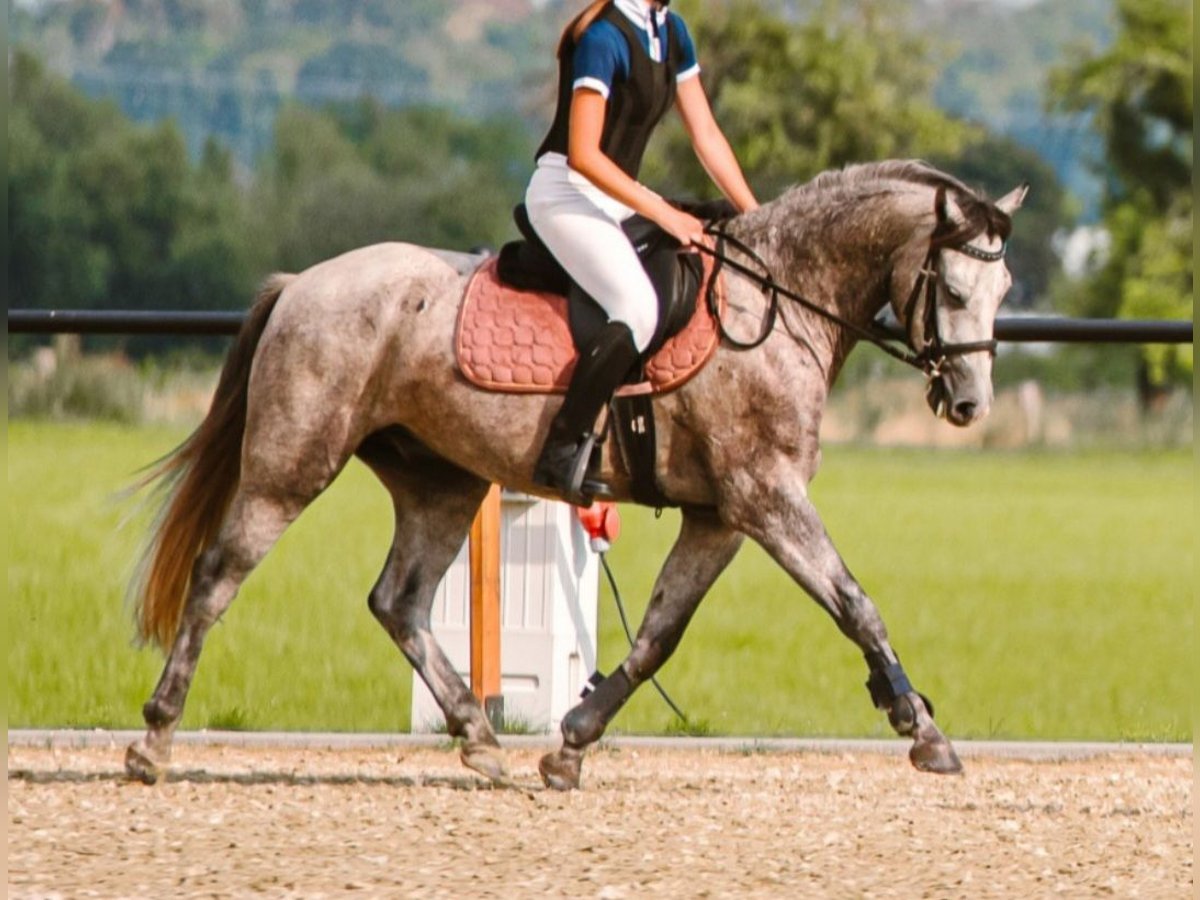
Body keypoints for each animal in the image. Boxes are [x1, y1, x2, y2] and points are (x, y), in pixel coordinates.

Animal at [126, 160, 1032, 787]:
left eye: (1005, 288)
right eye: (954, 288)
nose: (969, 403)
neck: (775, 304)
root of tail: (300, 284)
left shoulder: (720, 517)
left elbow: (659, 633)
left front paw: (573, 742)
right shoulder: (765, 497)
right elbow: (854, 603)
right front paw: (921, 728)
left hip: (441, 481)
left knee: (398, 601)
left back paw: (481, 739)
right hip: (293, 463)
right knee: (219, 574)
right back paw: (155, 738)